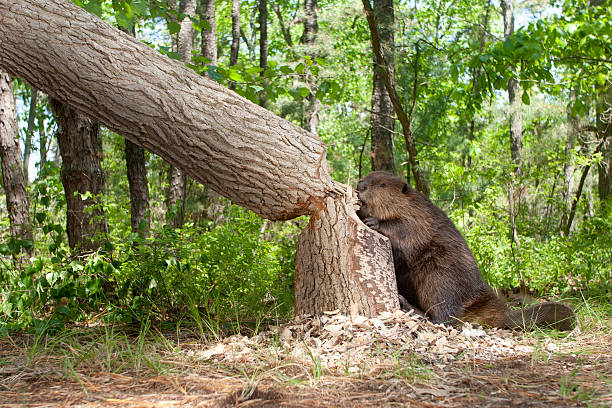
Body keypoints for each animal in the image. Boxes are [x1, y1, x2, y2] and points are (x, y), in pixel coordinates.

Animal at [356, 171, 576, 330]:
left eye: (383, 185)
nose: (360, 185)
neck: (410, 204)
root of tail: (501, 315)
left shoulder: (418, 218)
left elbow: (403, 229)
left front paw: (373, 221)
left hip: (440, 278)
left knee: (445, 318)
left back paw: (408, 306)